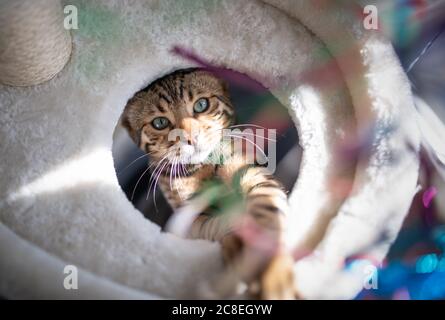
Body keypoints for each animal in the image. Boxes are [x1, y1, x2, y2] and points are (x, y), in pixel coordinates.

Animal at [121, 68, 294, 300]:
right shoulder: (188, 218)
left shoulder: (253, 175)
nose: (191, 138)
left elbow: (267, 213)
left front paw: (273, 270)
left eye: (201, 104)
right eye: (160, 123)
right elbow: (216, 224)